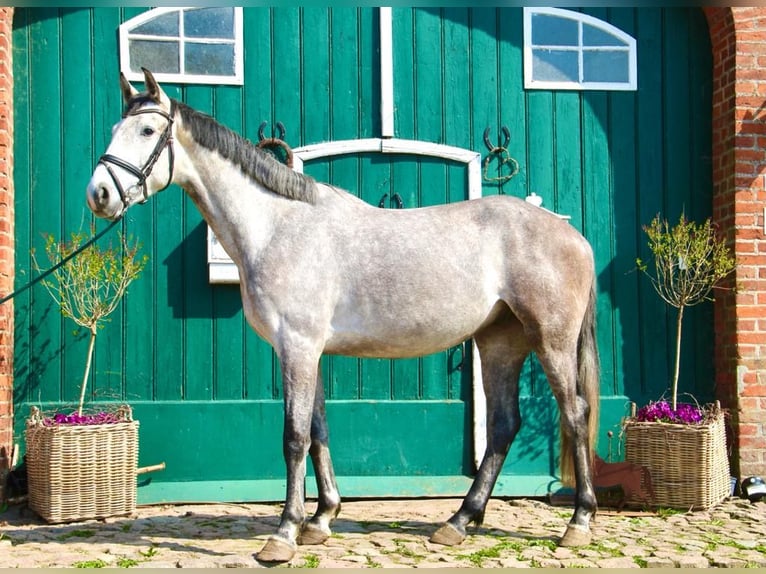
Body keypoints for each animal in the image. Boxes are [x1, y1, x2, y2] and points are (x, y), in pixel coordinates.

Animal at [87, 70, 604, 564]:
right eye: (113, 129)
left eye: (147, 129)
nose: (99, 194)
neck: (277, 227)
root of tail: (572, 235)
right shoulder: (306, 350)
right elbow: (318, 431)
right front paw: (320, 520)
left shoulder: (297, 346)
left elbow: (294, 437)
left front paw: (284, 535)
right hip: (500, 343)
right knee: (503, 426)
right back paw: (457, 522)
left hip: (551, 341)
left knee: (574, 414)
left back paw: (577, 523)